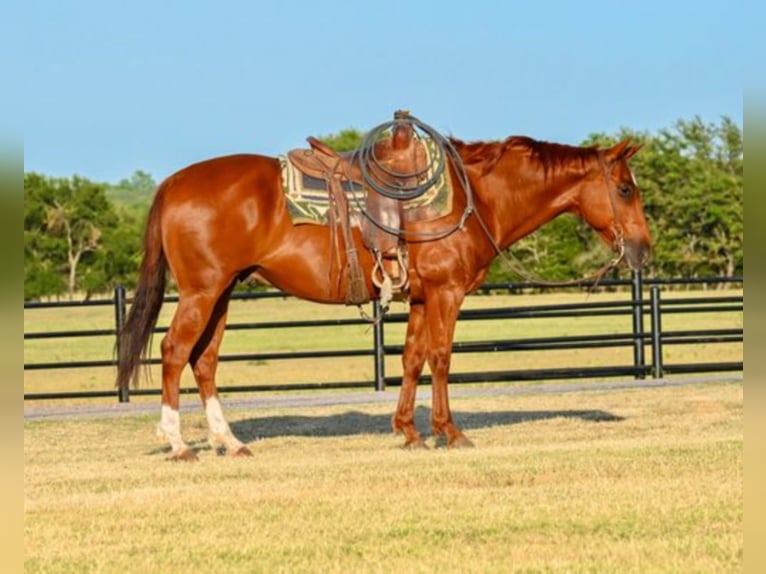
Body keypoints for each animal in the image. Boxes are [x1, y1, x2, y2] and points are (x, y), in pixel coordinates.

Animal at [117, 128, 652, 462]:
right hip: (202, 292)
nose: (643, 249)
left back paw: (230, 443)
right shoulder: (446, 293)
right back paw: (179, 444)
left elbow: (412, 359)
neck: (474, 198)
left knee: (204, 361)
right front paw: (449, 432)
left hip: (222, 293)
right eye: (626, 190)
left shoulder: (420, 297)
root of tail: (173, 183)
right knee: (174, 352)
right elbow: (440, 358)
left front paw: (409, 432)